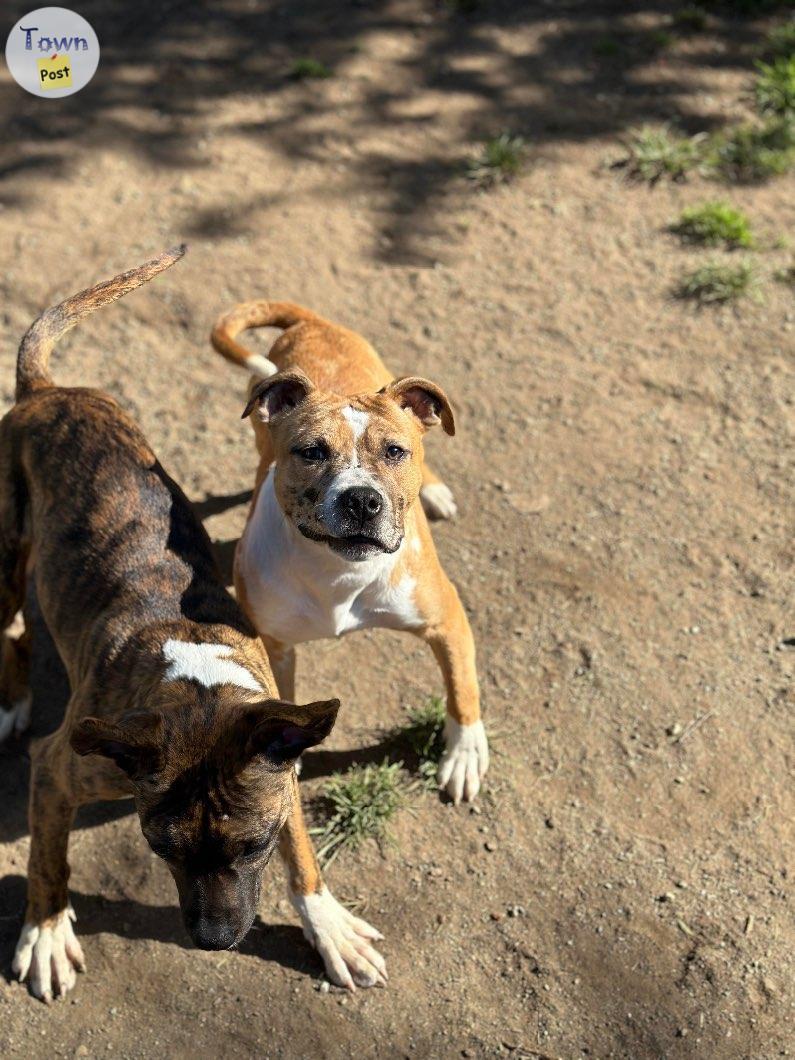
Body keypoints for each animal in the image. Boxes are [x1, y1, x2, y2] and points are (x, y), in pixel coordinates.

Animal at [0, 248, 354, 1000]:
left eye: (254, 845)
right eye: (158, 846)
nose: (216, 941)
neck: (198, 684)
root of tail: (45, 391)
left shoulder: (281, 765)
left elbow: (303, 852)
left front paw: (328, 924)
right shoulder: (59, 770)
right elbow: (48, 860)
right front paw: (45, 931)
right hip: (4, 550)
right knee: (11, 624)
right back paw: (12, 699)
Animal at [209, 298, 485, 788]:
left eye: (394, 452)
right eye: (311, 452)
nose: (361, 500)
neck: (341, 573)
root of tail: (310, 321)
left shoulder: (447, 619)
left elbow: (461, 685)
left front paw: (465, 752)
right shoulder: (273, 643)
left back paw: (433, 491)